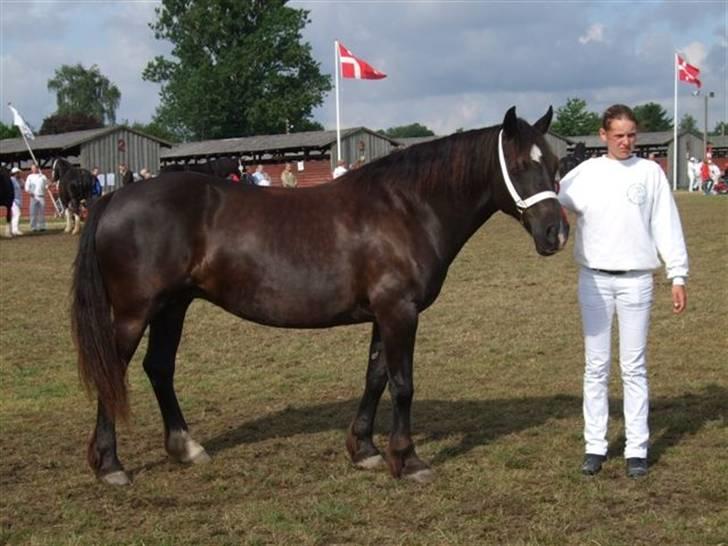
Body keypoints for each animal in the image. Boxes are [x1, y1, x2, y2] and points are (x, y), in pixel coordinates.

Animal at [69, 106, 568, 484]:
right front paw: (407, 460)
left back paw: (185, 447)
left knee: (159, 368)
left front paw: (364, 449)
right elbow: (403, 384)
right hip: (135, 312)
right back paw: (110, 465)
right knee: (114, 372)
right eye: (520, 166)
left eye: (556, 165)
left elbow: (376, 377)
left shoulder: (384, 315)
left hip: (173, 306)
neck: (406, 208)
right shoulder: (399, 312)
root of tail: (114, 199)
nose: (556, 233)